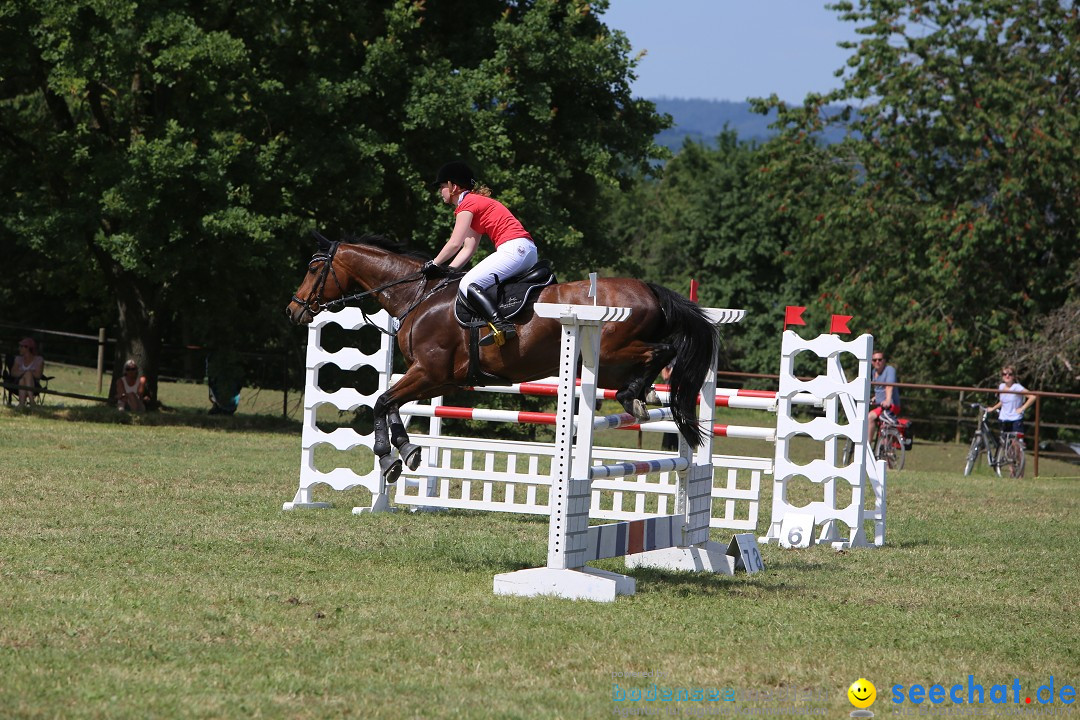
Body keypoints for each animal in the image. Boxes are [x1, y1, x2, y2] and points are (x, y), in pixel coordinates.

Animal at [287, 234, 717, 487]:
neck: (419, 296)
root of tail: (650, 289)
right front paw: (405, 451)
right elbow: (391, 402)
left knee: (662, 352)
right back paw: (644, 396)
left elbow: (381, 401)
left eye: (313, 267)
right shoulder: (438, 378)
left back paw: (634, 396)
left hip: (610, 355)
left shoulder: (429, 372)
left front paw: (388, 454)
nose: (293, 311)